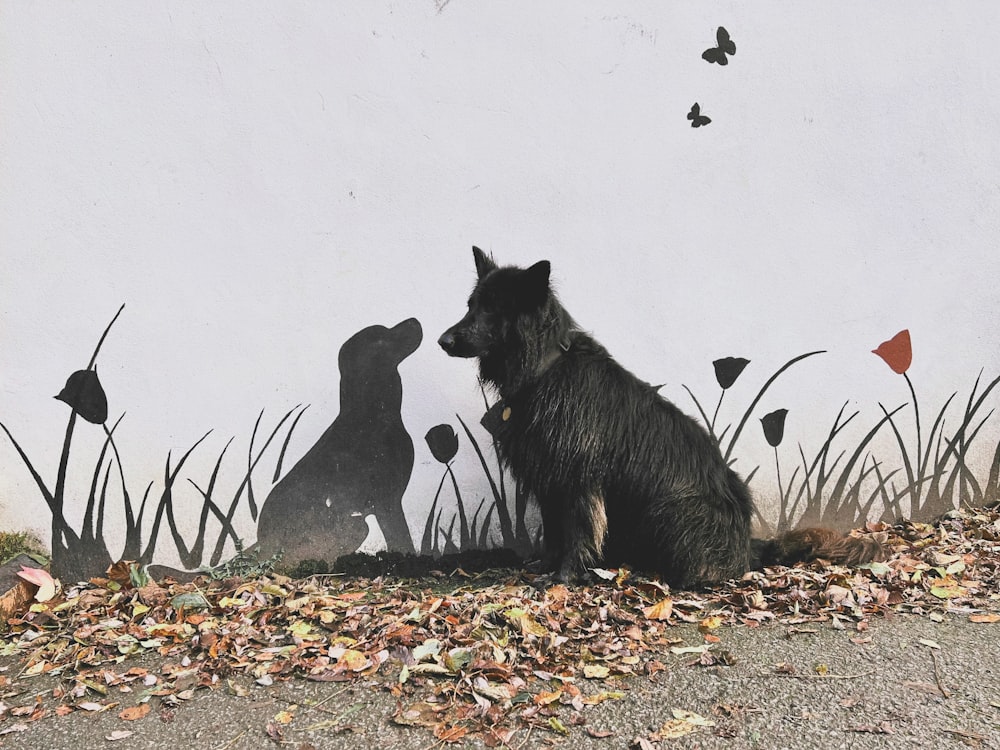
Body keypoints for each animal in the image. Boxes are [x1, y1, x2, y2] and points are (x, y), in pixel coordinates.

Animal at [438, 247, 884, 588]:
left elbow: (576, 534)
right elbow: (552, 532)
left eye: (493, 310)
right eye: (471, 306)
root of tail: (747, 544)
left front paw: (564, 577)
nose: (442, 340)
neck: (545, 367)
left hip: (669, 507)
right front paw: (545, 566)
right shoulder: (548, 480)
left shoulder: (577, 482)